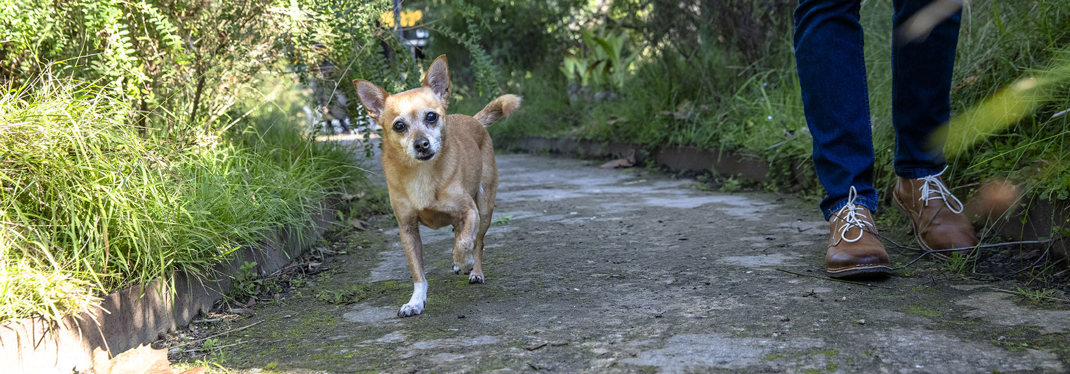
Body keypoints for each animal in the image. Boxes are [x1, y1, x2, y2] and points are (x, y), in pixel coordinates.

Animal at [355, 55, 517, 316]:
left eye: (431, 117)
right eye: (399, 126)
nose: (421, 144)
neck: (421, 173)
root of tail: (473, 119)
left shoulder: (470, 211)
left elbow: (464, 243)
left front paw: (464, 261)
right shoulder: (408, 230)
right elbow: (418, 272)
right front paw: (416, 301)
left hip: (484, 208)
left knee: (478, 241)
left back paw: (474, 270)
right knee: (459, 232)